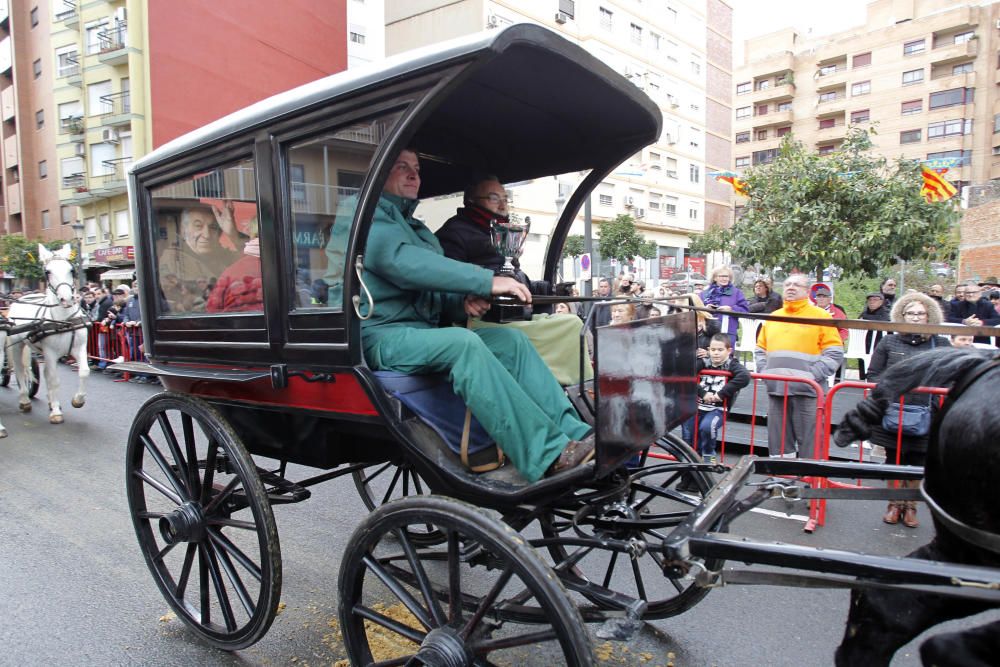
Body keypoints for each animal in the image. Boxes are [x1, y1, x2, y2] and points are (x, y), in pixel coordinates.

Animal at [5, 245, 89, 428]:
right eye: (47, 272)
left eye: (71, 270)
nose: (67, 299)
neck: (64, 320)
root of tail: (21, 297)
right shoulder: (50, 352)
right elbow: (54, 379)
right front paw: (56, 413)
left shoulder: (80, 348)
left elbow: (84, 372)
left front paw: (77, 400)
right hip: (17, 344)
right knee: (21, 370)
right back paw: (25, 400)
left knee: (42, 372)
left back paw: (50, 401)